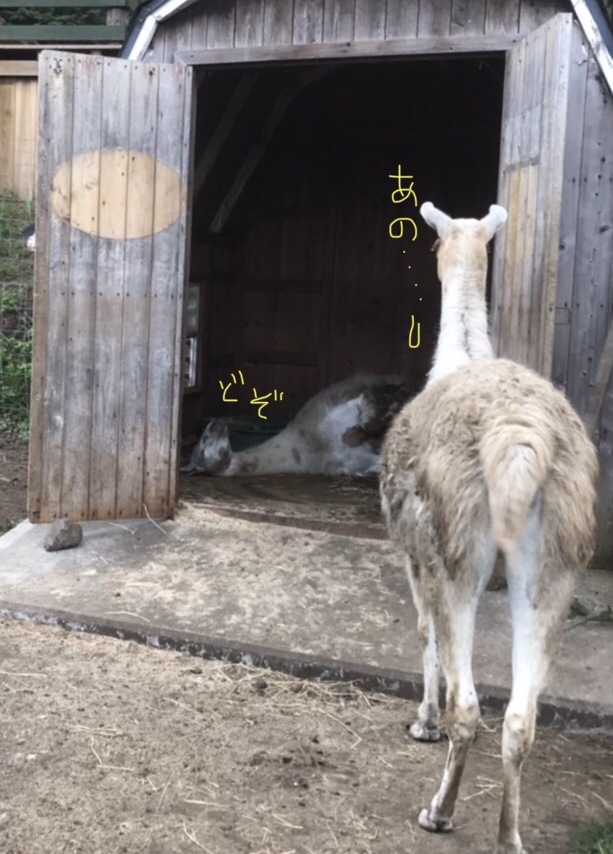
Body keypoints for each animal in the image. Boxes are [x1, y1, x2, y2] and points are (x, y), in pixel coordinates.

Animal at [379, 202, 598, 854]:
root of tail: (522, 437)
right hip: (556, 561)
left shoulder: (414, 555)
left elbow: (421, 632)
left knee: (471, 703)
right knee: (522, 718)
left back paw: (439, 811)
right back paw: (509, 835)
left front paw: (421, 723)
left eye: (433, 244)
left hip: (459, 549)